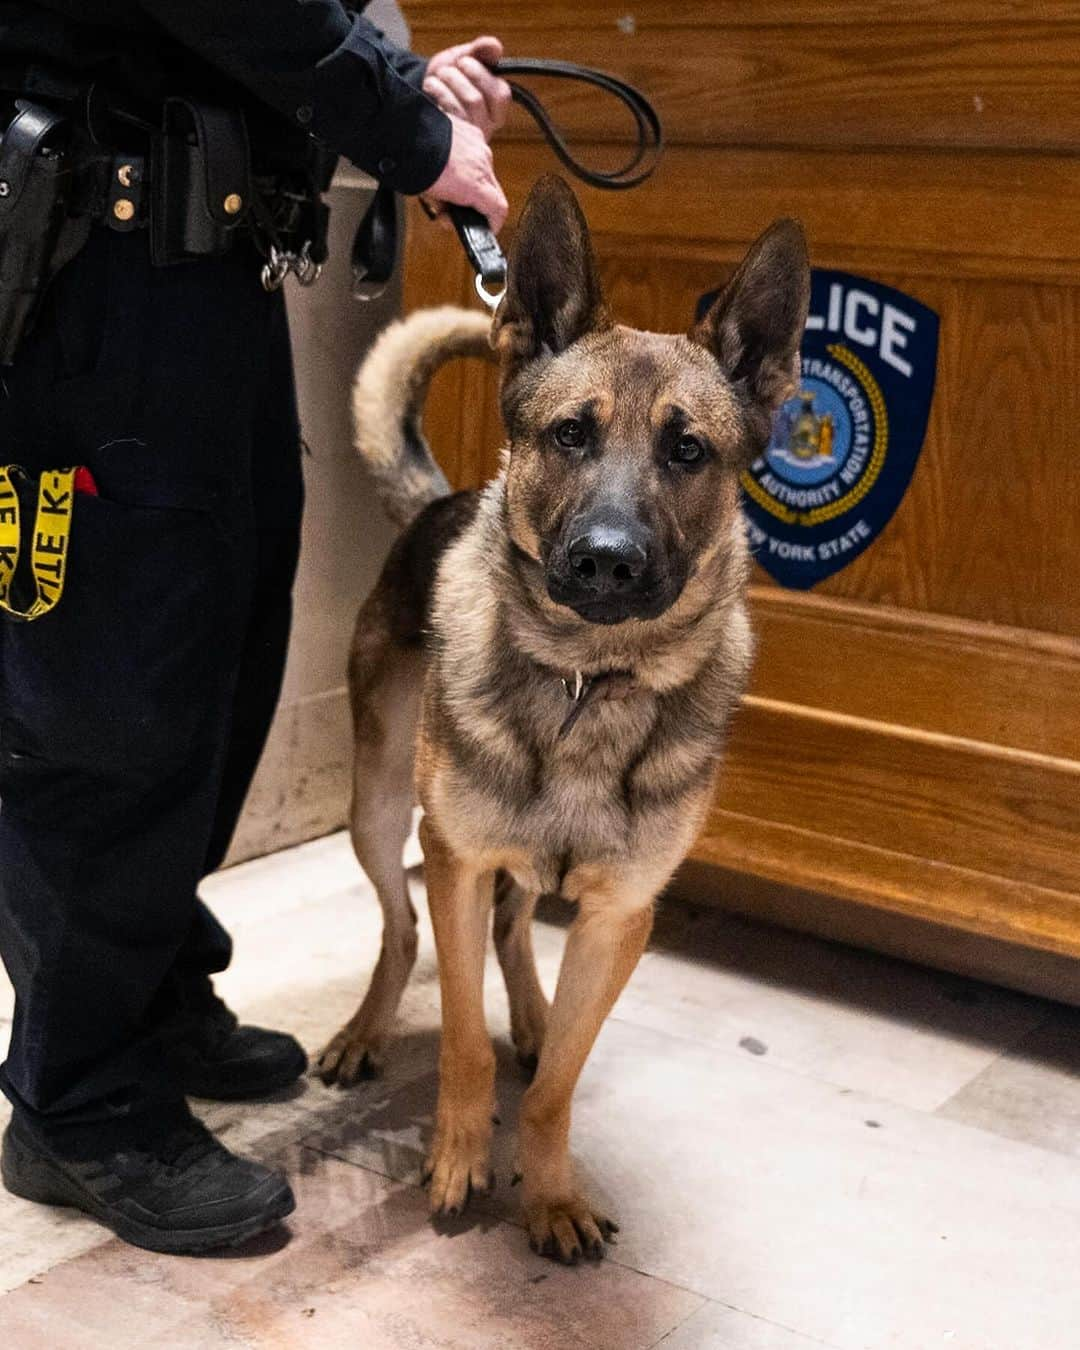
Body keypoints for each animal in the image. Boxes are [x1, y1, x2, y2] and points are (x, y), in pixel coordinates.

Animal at [315, 179, 804, 1263]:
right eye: (571, 435)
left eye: (687, 450)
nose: (607, 562)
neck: (589, 682)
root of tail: (443, 497)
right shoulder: (455, 860)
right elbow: (461, 1039)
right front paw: (459, 1158)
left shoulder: (620, 916)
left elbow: (559, 1087)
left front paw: (548, 1191)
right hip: (379, 812)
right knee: (402, 929)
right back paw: (367, 1032)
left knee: (510, 932)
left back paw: (534, 1018)